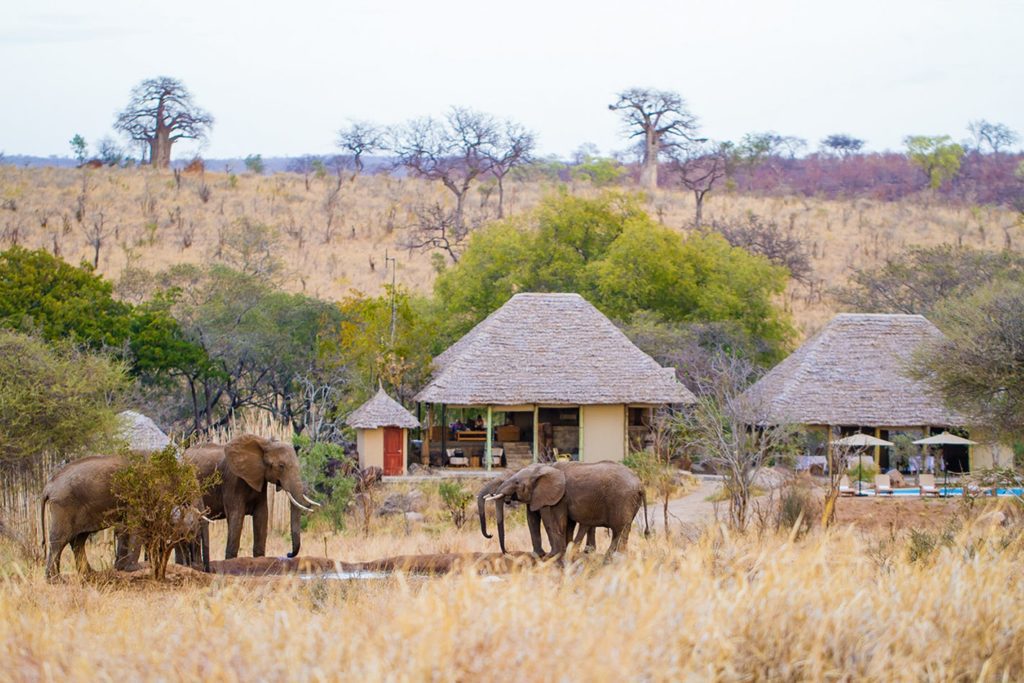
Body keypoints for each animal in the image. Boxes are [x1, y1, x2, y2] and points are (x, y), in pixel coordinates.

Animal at [40, 456, 206, 581]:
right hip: (64, 505)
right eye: (188, 485)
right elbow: (135, 527)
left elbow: (125, 529)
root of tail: (48, 486)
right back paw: (56, 580)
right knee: (61, 539)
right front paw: (137, 568)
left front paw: (120, 568)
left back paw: (90, 574)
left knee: (79, 539)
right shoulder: (137, 497)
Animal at [184, 436, 317, 565]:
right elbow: (236, 517)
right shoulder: (233, 480)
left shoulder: (260, 480)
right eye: (281, 466)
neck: (264, 443)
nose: (288, 554)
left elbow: (262, 516)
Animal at [481, 458, 643, 561]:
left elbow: (554, 521)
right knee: (622, 529)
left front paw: (552, 556)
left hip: (622, 499)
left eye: (516, 482)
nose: (507, 552)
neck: (544, 467)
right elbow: (533, 519)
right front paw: (541, 555)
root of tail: (640, 483)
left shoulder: (558, 496)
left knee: (620, 529)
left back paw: (612, 556)